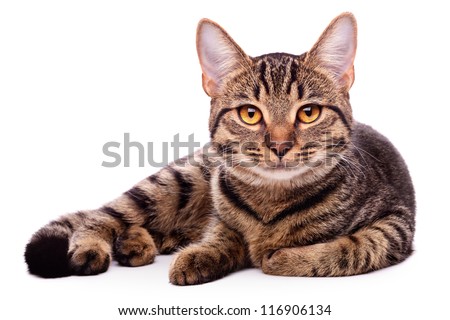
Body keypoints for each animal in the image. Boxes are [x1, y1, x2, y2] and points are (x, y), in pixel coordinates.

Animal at [24, 13, 414, 284]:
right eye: (250, 114)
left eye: (309, 112)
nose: (280, 145)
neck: (272, 201)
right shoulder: (220, 213)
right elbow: (223, 234)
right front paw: (204, 254)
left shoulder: (395, 224)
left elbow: (352, 247)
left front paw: (283, 257)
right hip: (177, 182)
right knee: (101, 216)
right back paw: (97, 245)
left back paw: (135, 243)